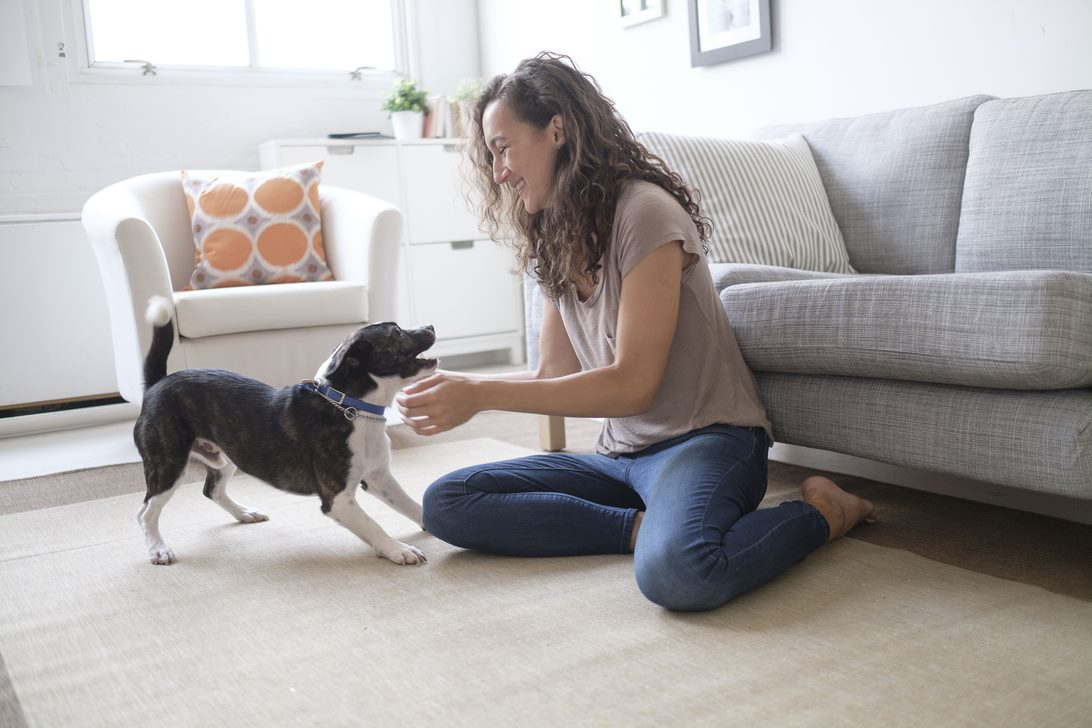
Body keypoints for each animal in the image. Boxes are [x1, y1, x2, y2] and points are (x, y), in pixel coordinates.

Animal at [128, 299, 434, 567]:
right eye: (396, 332)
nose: (431, 325)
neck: (351, 406)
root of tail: (157, 384)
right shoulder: (338, 499)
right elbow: (373, 526)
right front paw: (398, 550)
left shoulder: (379, 478)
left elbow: (412, 505)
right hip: (169, 463)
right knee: (145, 511)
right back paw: (158, 549)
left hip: (226, 455)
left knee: (211, 490)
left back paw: (245, 513)